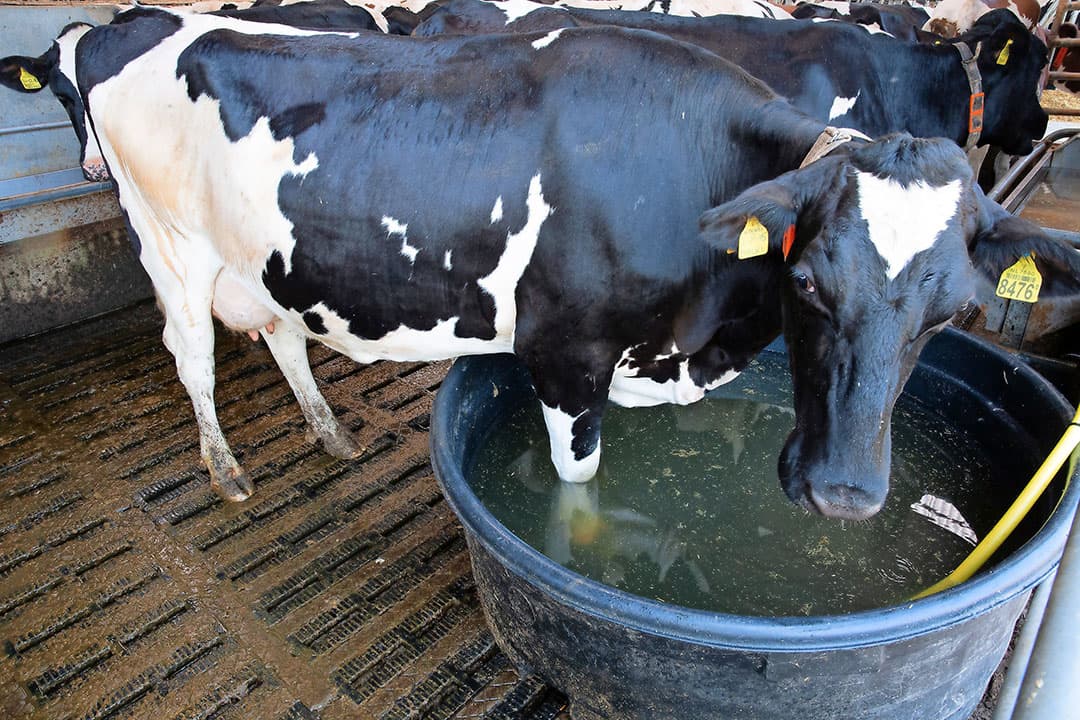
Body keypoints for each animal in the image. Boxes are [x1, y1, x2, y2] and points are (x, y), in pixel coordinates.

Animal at [10, 7, 1080, 520]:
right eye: (811, 281)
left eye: (952, 312)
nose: (843, 496)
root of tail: (137, 19)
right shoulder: (567, 353)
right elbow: (579, 485)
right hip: (168, 246)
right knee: (191, 353)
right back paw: (225, 467)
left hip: (259, 253)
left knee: (280, 330)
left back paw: (328, 432)